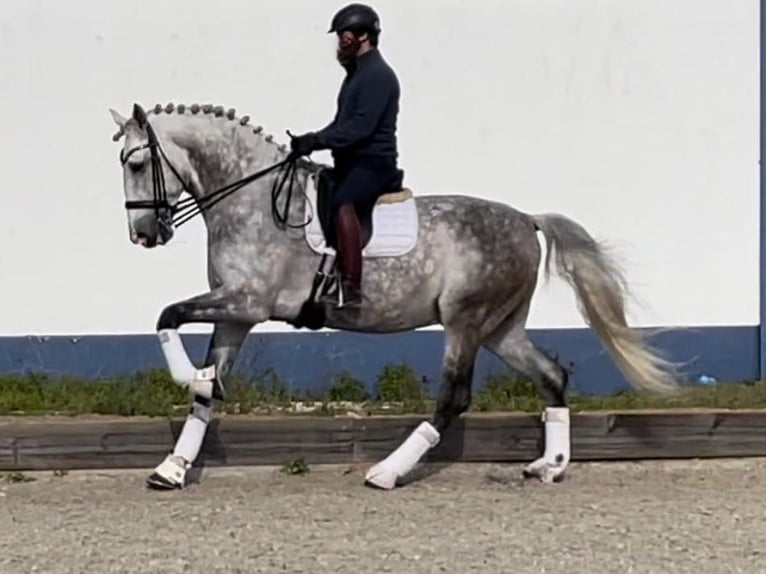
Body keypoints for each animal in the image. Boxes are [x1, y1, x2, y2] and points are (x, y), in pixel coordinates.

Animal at [108, 102, 680, 490]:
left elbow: (167, 316)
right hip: (501, 327)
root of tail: (526, 219)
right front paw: (172, 466)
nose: (143, 234)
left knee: (454, 397)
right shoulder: (235, 315)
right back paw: (550, 466)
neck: (250, 200)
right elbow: (204, 391)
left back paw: (386, 471)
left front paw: (192, 379)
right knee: (553, 375)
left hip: (464, 321)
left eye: (135, 163)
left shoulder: (246, 302)